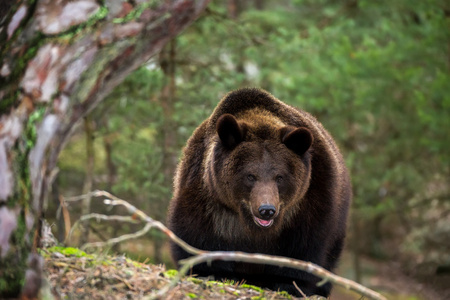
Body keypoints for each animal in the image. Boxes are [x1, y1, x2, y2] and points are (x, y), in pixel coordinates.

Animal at [166, 88, 352, 296]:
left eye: (279, 177)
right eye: (250, 176)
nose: (267, 210)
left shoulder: (310, 200)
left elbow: (303, 248)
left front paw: (291, 284)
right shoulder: (207, 200)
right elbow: (198, 240)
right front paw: (213, 272)